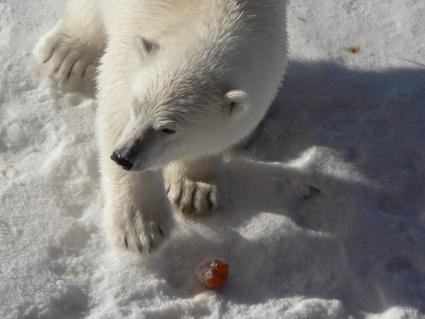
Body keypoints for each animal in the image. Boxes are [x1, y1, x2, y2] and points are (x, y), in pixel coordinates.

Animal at [31, 0, 286, 255]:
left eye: (169, 129)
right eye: (136, 105)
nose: (123, 157)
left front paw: (195, 191)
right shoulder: (130, 46)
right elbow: (114, 111)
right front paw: (139, 229)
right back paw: (68, 56)